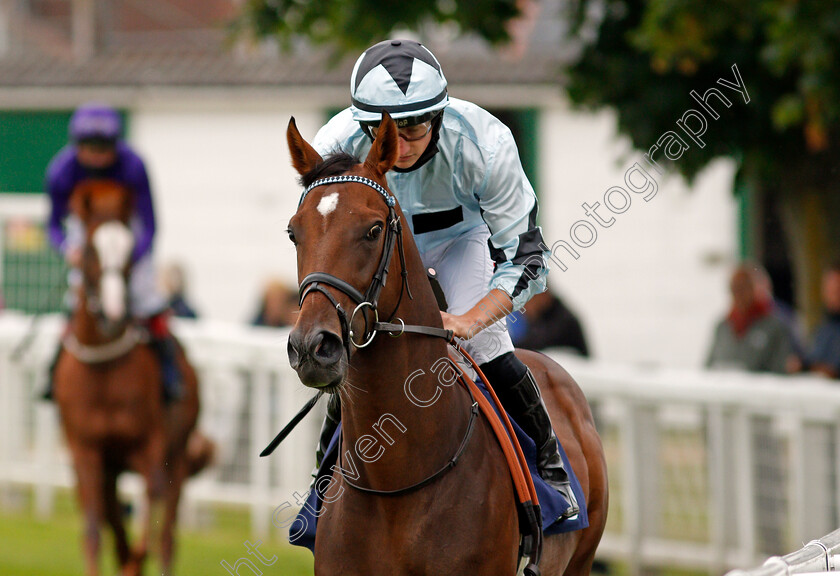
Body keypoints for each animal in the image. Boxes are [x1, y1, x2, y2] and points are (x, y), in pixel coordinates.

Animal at [53, 181, 213, 576]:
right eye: (90, 250)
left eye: (128, 249)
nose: (113, 314)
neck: (104, 372)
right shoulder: (86, 453)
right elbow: (95, 529)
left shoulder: (151, 448)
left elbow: (149, 513)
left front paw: (136, 560)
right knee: (113, 519)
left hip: (178, 452)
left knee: (167, 536)